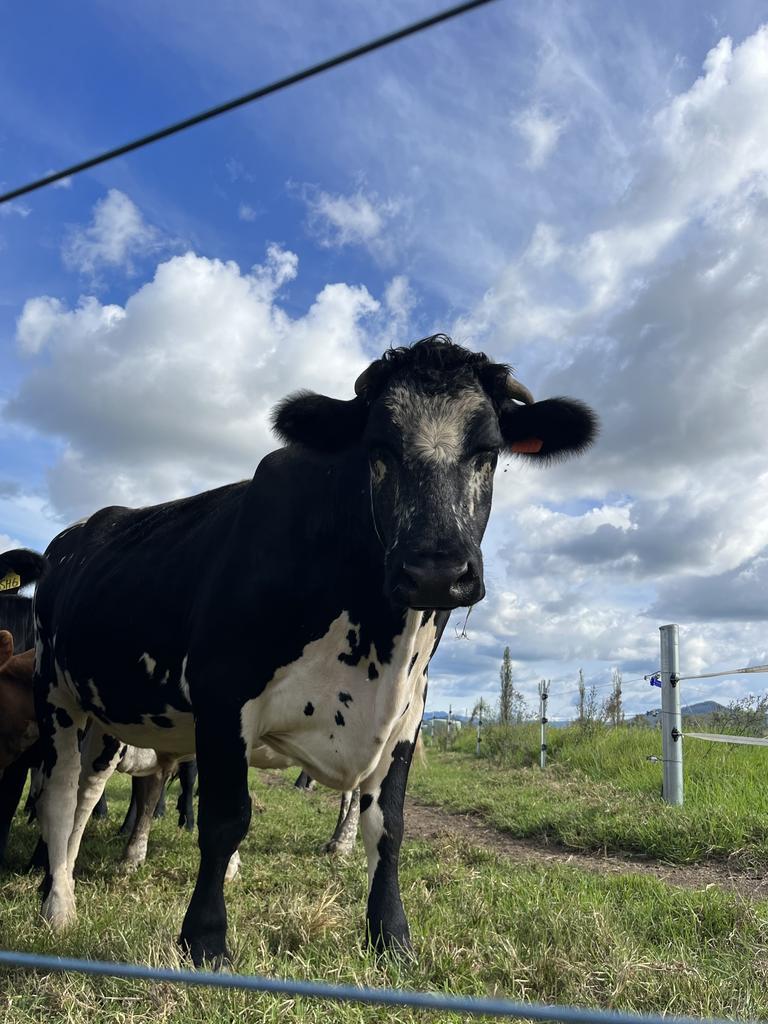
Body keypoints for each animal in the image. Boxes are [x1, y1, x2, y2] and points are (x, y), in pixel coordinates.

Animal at [3, 333, 598, 958]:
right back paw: (57, 903)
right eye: (378, 447)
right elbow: (226, 819)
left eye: (487, 451)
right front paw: (205, 940)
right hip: (56, 695)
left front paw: (392, 937)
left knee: (88, 793)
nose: (436, 571)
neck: (379, 646)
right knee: (61, 794)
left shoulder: (408, 715)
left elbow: (389, 826)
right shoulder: (223, 696)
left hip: (105, 712)